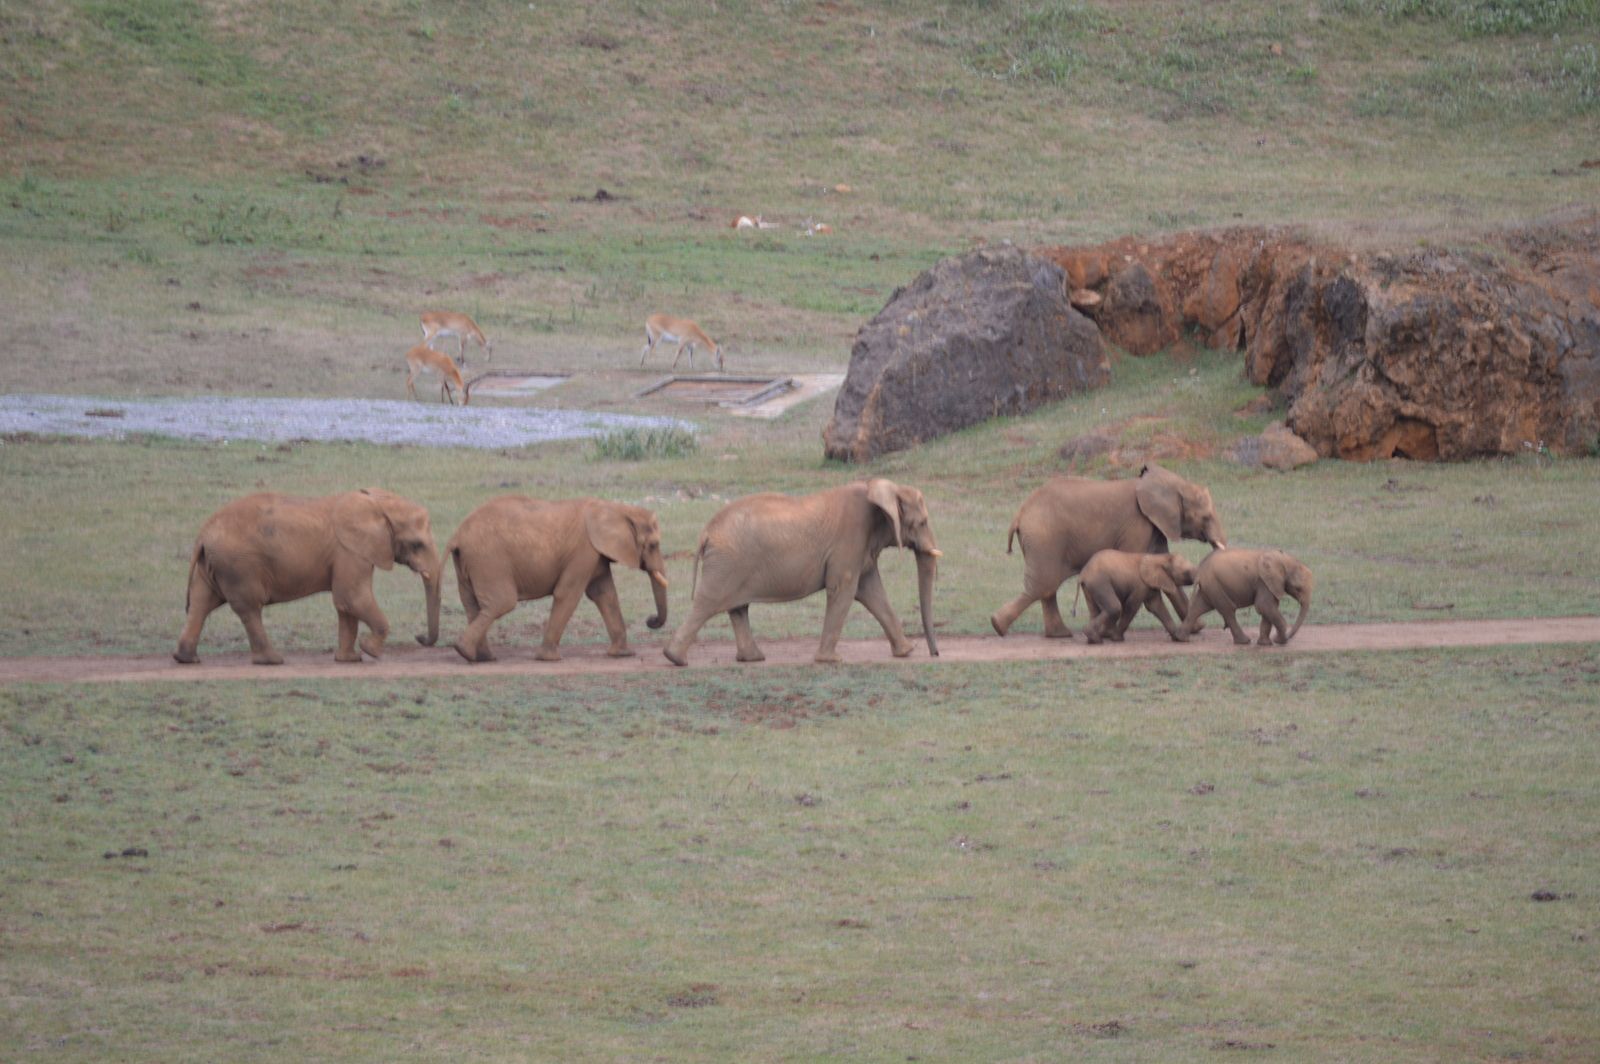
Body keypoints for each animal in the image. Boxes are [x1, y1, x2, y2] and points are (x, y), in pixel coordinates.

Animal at [173, 489, 444, 665]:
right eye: (417, 544)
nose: (419, 637)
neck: (377, 503)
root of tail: (203, 534)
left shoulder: (349, 553)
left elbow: (345, 604)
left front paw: (349, 659)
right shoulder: (350, 551)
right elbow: (352, 597)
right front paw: (371, 651)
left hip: (214, 565)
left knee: (200, 603)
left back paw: (186, 659)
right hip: (239, 565)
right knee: (249, 608)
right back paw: (272, 660)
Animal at [451, 492, 668, 659]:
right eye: (653, 545)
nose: (651, 620)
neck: (617, 509)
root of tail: (457, 535)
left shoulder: (595, 554)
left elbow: (605, 594)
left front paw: (622, 655)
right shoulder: (584, 551)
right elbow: (568, 594)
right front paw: (549, 659)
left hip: (469, 563)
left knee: (472, 605)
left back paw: (478, 657)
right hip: (489, 560)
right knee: (501, 603)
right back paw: (466, 653)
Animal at [659, 480, 934, 665]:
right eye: (922, 522)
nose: (935, 653)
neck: (876, 487)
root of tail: (706, 532)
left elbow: (871, 591)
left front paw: (907, 652)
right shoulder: (849, 540)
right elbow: (844, 589)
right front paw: (831, 660)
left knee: (737, 608)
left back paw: (752, 658)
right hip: (726, 564)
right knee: (708, 603)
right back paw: (675, 659)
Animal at [985, 464, 1222, 640]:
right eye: (1206, 517)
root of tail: (1019, 513)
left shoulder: (1154, 526)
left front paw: (1197, 628)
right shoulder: (1138, 525)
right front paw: (1110, 634)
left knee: (1047, 588)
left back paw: (1057, 634)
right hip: (1043, 538)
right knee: (1044, 585)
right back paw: (998, 626)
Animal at [1177, 547, 1312, 646]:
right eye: (1298, 588)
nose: (1277, 638)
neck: (1284, 560)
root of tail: (1199, 570)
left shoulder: (1270, 585)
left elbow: (1268, 609)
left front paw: (1265, 644)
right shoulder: (1264, 582)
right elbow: (1264, 606)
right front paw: (1279, 641)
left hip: (1209, 587)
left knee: (1197, 608)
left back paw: (1181, 639)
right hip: (1214, 584)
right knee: (1228, 610)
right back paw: (1244, 642)